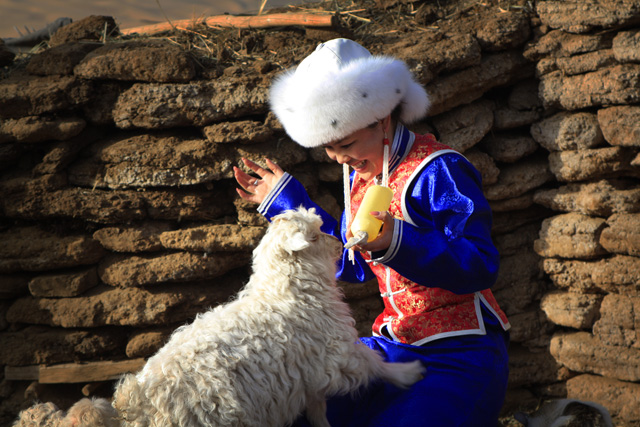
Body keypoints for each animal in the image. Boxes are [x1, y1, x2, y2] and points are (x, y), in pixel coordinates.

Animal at [15, 206, 424, 426]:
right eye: (313, 235)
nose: (339, 243)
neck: (284, 293)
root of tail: (136, 403)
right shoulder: (336, 353)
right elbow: (373, 364)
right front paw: (409, 373)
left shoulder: (306, 374)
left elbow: (318, 408)